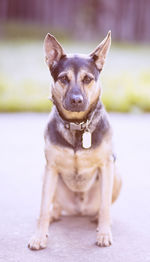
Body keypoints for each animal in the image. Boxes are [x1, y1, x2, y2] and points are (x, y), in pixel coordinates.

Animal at [27, 31, 122, 250]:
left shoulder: (107, 165)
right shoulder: (51, 167)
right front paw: (39, 236)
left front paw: (104, 233)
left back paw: (98, 219)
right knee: (53, 205)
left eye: (88, 79)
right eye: (63, 78)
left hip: (117, 174)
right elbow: (43, 207)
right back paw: (55, 213)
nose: (77, 100)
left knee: (101, 207)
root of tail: (80, 210)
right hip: (47, 177)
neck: (78, 126)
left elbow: (105, 206)